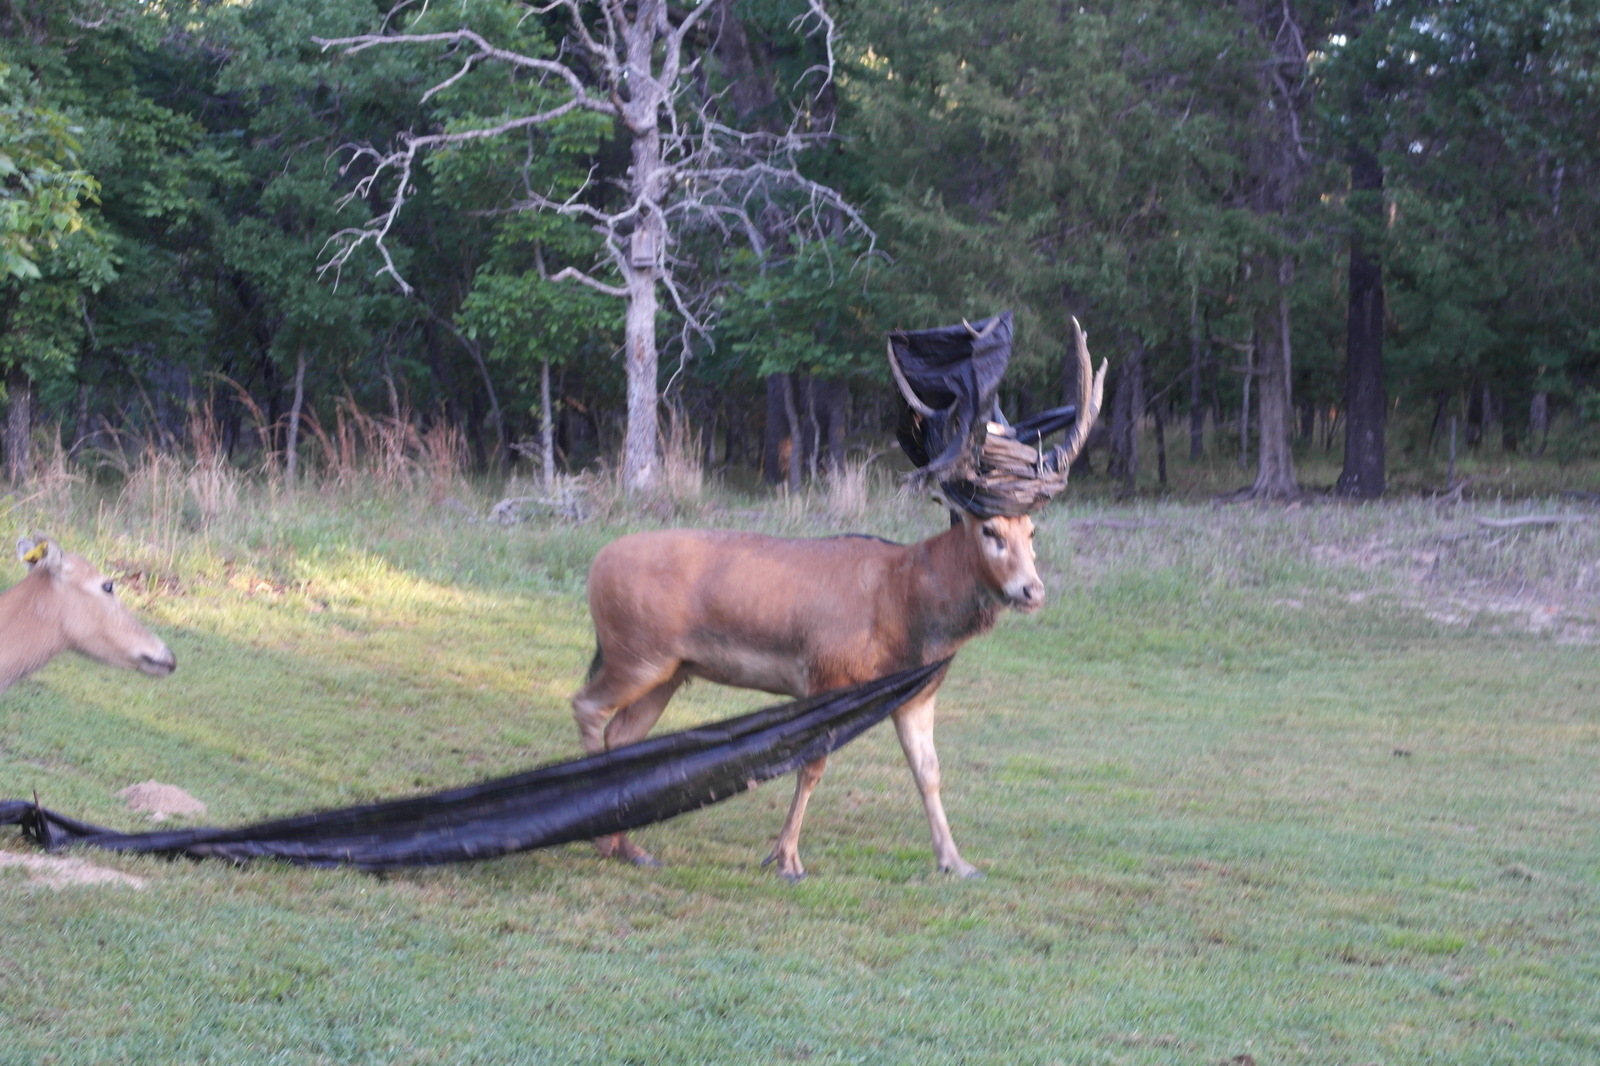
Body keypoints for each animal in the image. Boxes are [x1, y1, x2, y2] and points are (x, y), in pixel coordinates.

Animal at [576, 320, 1113, 877]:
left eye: (1031, 531)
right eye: (989, 530)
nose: (1031, 590)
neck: (906, 608)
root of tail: (595, 566)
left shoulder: (918, 695)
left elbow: (929, 772)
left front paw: (955, 861)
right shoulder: (828, 674)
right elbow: (812, 767)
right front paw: (787, 857)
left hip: (668, 669)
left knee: (622, 736)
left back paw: (630, 846)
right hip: (636, 650)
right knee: (587, 707)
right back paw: (603, 840)